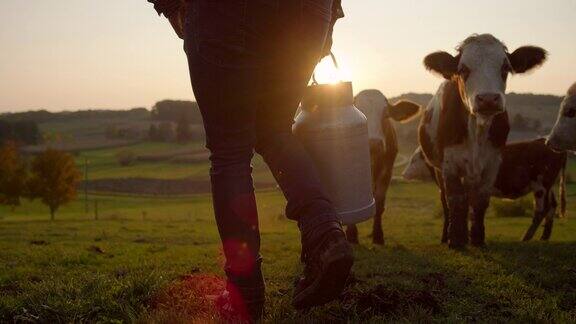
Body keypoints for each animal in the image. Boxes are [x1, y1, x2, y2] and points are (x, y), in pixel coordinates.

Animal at [342, 90, 418, 244]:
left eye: (385, 115)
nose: (374, 144)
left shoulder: (387, 172)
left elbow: (379, 204)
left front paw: (378, 235)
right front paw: (352, 234)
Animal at [404, 139, 568, 240]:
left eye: (414, 159)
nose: (404, 173)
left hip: (541, 186)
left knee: (541, 210)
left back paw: (526, 237)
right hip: (549, 186)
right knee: (552, 205)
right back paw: (544, 236)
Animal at [416, 34, 548, 247]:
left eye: (505, 68)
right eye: (463, 69)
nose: (488, 99)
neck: (477, 128)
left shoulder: (493, 162)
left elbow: (480, 200)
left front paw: (477, 238)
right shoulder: (449, 164)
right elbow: (455, 200)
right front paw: (456, 240)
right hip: (437, 168)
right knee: (445, 201)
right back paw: (447, 235)